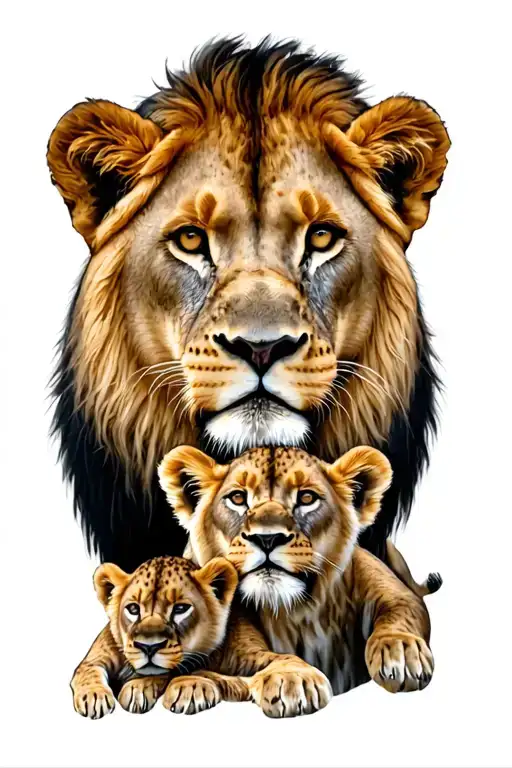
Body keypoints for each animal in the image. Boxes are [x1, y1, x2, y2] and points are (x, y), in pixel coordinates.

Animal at [72, 554, 332, 719]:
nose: (148, 647)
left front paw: (294, 683)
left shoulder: (250, 655)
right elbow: (85, 673)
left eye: (180, 608)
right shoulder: (94, 659)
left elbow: (285, 659)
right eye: (133, 609)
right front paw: (93, 698)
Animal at [157, 444, 439, 696]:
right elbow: (259, 657)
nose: (267, 539)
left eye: (307, 498)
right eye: (237, 498)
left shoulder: (387, 587)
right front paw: (291, 679)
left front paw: (401, 654)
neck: (291, 613)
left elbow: (402, 611)